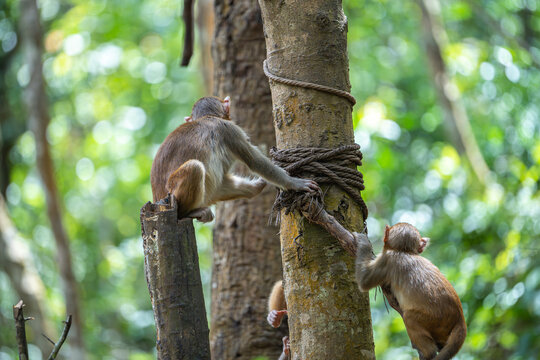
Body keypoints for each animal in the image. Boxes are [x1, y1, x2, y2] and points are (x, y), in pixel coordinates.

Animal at [150, 95, 318, 221]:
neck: (207, 117)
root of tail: (157, 199)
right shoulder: (229, 130)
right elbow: (254, 161)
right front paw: (294, 183)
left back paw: (255, 188)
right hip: (173, 193)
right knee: (195, 167)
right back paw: (187, 212)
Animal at [356, 224, 466, 358]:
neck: (405, 251)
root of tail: (460, 319)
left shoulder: (387, 259)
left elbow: (364, 281)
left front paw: (363, 242)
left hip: (434, 320)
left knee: (409, 317)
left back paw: (428, 353)